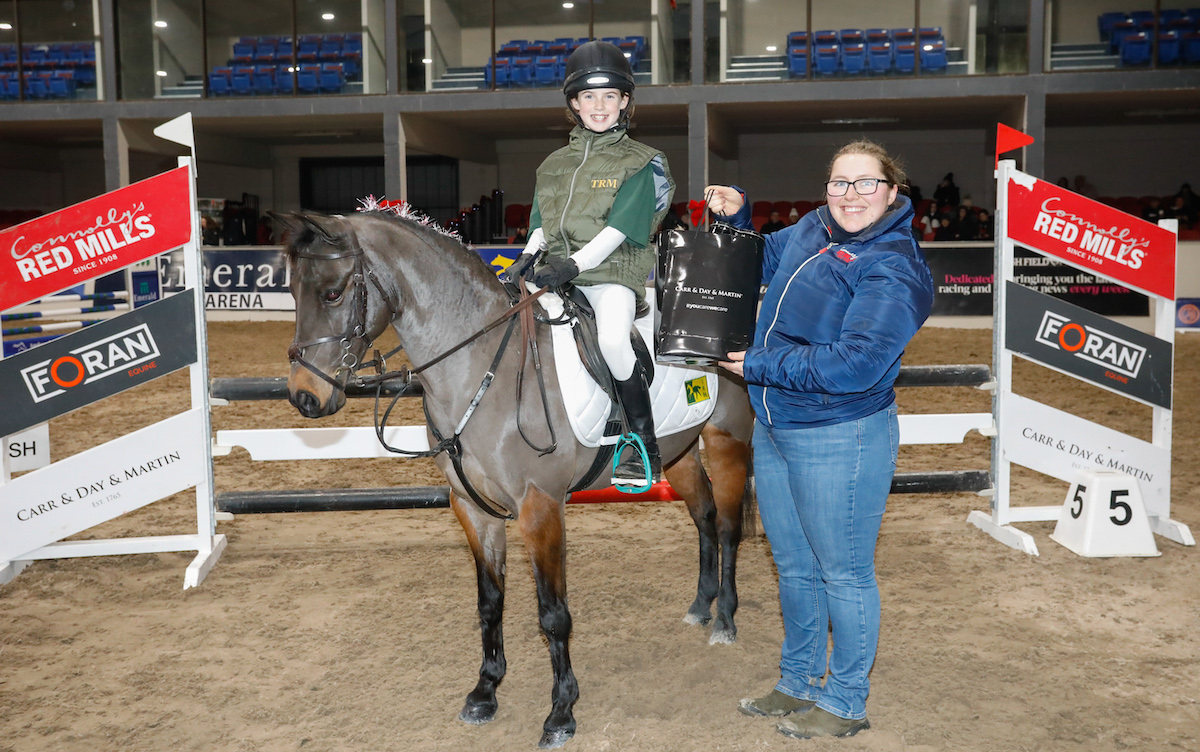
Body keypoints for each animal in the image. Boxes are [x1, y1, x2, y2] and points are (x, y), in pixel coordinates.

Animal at [272, 203, 748, 748]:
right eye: (292, 292)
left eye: (332, 292)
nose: (305, 397)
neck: (481, 371)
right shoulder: (472, 508)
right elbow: (489, 602)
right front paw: (485, 690)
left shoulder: (539, 508)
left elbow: (553, 614)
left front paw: (561, 712)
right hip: (679, 452)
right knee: (704, 516)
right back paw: (701, 605)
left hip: (728, 442)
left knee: (728, 526)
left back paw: (725, 620)